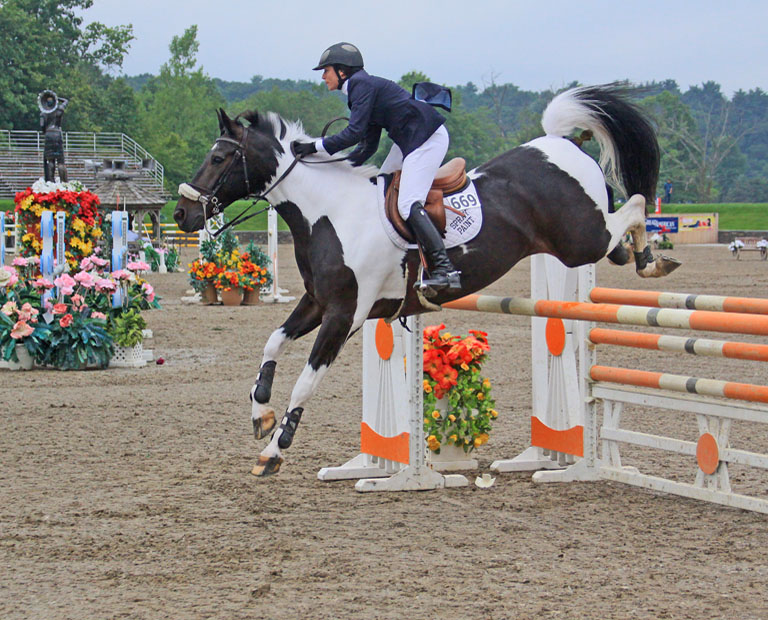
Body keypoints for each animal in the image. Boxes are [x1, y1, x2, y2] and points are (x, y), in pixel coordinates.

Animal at [173, 83, 680, 477]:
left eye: (219, 157)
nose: (182, 214)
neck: (330, 213)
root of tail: (561, 143)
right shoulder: (317, 303)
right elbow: (273, 343)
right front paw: (261, 413)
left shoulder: (344, 314)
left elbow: (305, 381)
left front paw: (273, 451)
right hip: (576, 242)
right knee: (619, 231)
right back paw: (639, 255)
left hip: (580, 240)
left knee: (634, 205)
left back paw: (651, 260)